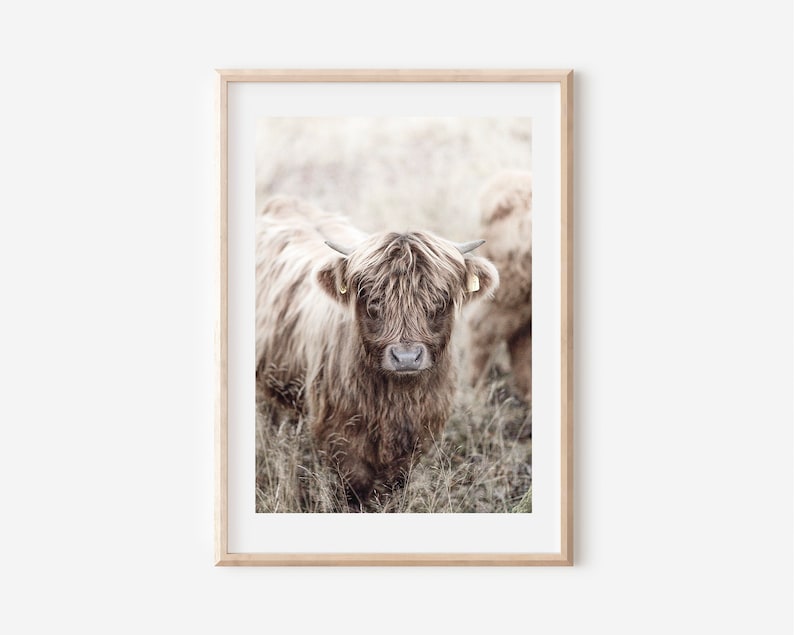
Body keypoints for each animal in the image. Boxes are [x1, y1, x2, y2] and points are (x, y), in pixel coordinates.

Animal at [255, 195, 499, 507]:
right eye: (372, 300)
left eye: (440, 300)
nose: (406, 358)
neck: (395, 398)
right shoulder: (339, 433)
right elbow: (356, 486)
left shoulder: (419, 432)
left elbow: (395, 484)